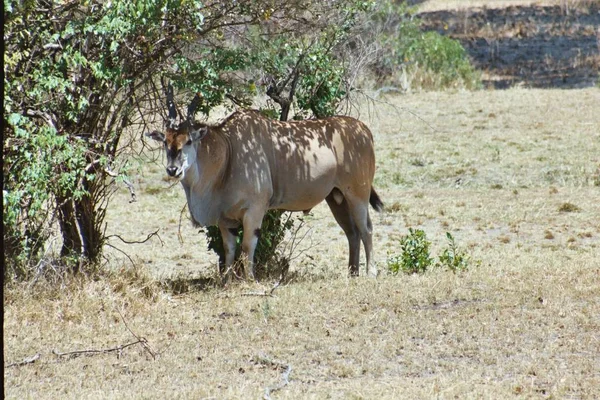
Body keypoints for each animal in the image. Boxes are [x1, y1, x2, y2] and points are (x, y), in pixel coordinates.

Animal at [146, 86, 384, 282]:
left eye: (188, 141)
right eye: (165, 142)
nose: (173, 170)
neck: (228, 151)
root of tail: (365, 130)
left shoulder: (255, 210)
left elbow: (247, 246)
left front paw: (250, 279)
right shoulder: (225, 219)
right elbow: (229, 249)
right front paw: (227, 281)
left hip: (358, 194)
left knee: (366, 229)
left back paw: (370, 272)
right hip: (336, 198)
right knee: (352, 232)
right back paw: (352, 273)